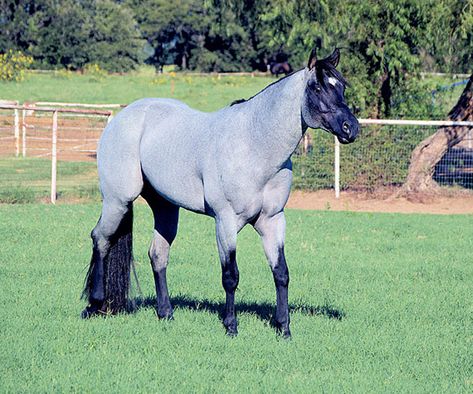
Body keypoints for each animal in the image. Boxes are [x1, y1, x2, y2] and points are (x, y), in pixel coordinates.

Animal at [83, 47, 360, 338]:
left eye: (341, 86)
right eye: (317, 87)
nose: (350, 127)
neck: (253, 146)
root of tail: (122, 118)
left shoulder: (272, 221)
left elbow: (281, 272)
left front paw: (283, 328)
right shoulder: (225, 221)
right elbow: (230, 276)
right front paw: (231, 326)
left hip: (165, 208)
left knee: (157, 254)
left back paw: (166, 314)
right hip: (118, 201)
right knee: (100, 239)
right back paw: (95, 304)